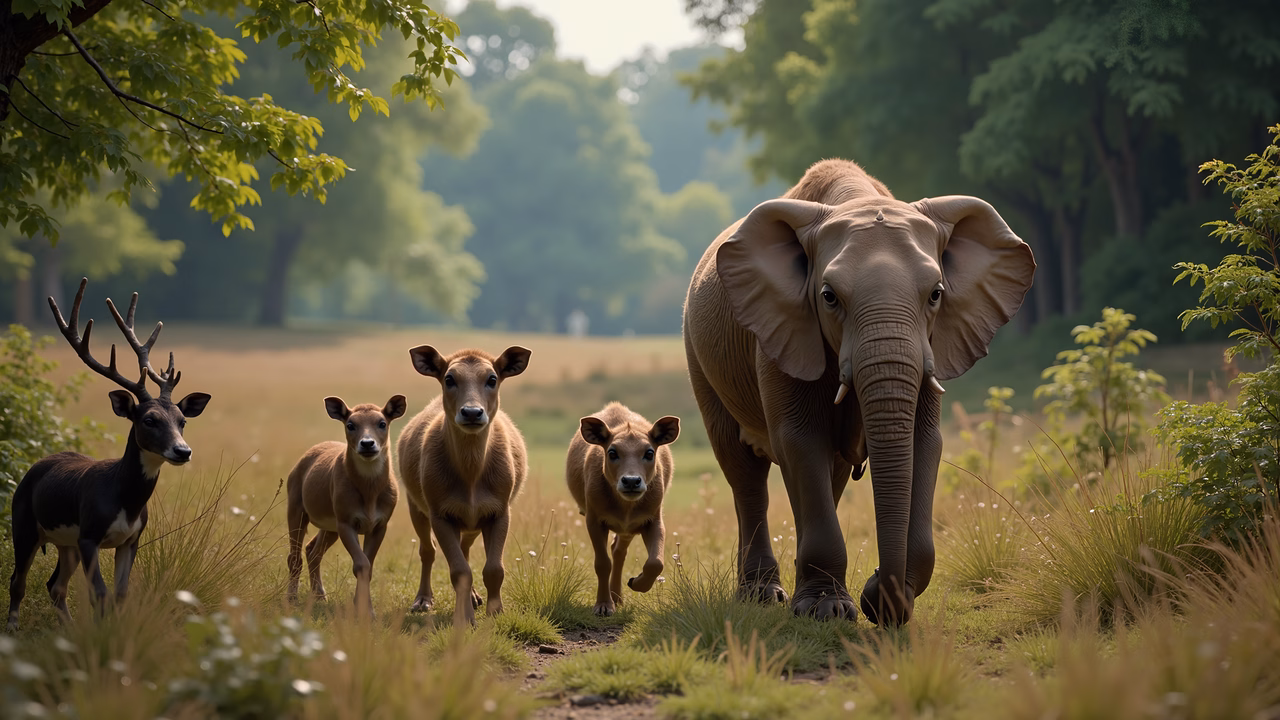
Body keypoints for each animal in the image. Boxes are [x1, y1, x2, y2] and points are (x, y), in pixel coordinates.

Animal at [7, 278, 211, 632]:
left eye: (182, 421)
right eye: (149, 420)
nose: (182, 451)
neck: (125, 502)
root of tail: (35, 467)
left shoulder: (131, 538)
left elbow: (120, 594)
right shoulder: (89, 534)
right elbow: (99, 594)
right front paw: (103, 636)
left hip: (66, 543)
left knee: (54, 585)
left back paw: (69, 630)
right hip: (24, 522)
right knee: (17, 581)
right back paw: (12, 628)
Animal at [285, 395, 407, 616]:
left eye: (382, 423)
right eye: (350, 424)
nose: (367, 443)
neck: (369, 496)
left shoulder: (380, 523)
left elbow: (368, 565)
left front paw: (365, 610)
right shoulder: (345, 519)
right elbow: (361, 564)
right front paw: (365, 610)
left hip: (329, 523)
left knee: (312, 551)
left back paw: (320, 595)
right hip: (295, 503)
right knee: (295, 555)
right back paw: (291, 598)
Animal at [397, 345, 531, 627]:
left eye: (492, 379)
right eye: (449, 378)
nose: (471, 412)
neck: (471, 474)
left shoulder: (499, 511)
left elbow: (494, 569)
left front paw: (495, 613)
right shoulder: (439, 513)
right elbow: (459, 570)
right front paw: (466, 619)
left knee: (466, 549)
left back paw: (472, 597)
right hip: (415, 505)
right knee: (428, 550)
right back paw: (423, 599)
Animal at [566, 402, 679, 616]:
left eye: (649, 453)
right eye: (612, 452)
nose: (631, 481)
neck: (625, 506)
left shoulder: (653, 519)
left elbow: (656, 562)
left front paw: (637, 583)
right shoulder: (594, 519)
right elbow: (602, 564)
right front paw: (603, 605)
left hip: (629, 529)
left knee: (619, 551)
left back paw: (617, 597)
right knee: (616, 552)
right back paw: (614, 598)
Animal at [682, 159, 1034, 625]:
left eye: (936, 294)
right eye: (829, 297)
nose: (879, 594)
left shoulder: (931, 347)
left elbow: (925, 442)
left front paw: (879, 602)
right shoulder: (783, 332)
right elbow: (799, 438)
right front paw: (828, 612)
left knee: (826, 475)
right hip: (698, 355)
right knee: (743, 471)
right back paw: (762, 596)